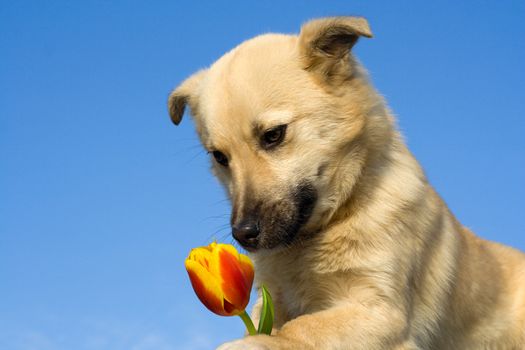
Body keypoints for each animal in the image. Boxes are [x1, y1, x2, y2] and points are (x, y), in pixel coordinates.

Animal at [169, 17, 524, 350]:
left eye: (273, 135)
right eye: (219, 157)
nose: (243, 235)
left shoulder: (381, 311)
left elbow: (306, 326)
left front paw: (255, 343)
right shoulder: (270, 301)